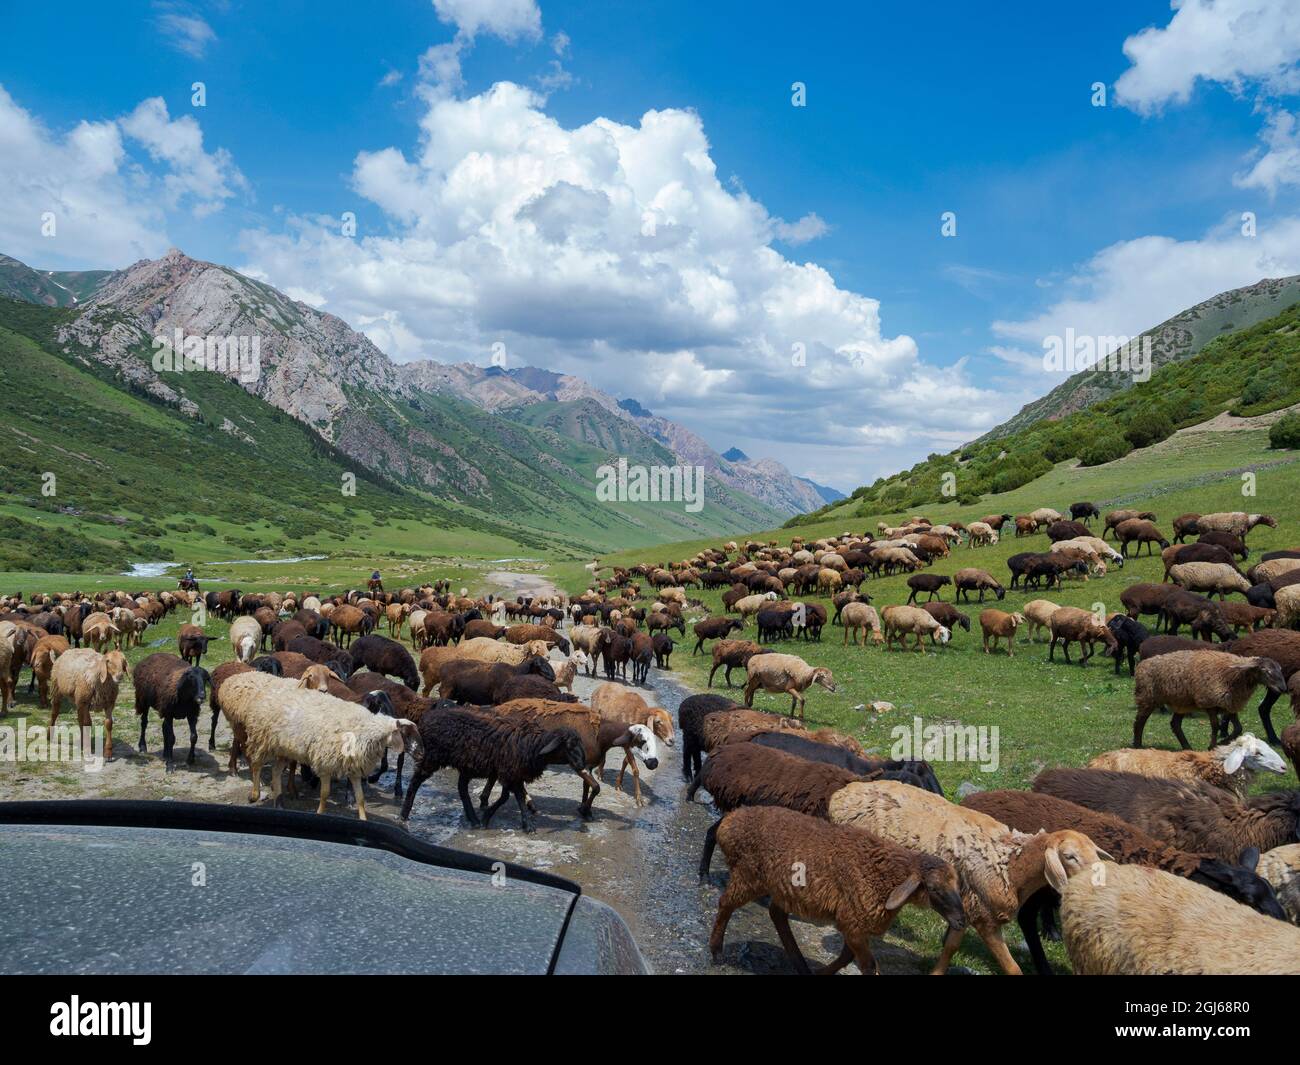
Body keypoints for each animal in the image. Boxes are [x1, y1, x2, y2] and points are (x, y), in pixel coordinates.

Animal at [217, 672, 413, 819]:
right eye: (380, 708)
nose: (404, 743)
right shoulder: (325, 762)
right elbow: (325, 793)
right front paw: (320, 811)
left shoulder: (353, 767)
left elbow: (360, 798)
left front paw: (363, 818)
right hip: (262, 739)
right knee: (256, 764)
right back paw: (254, 794)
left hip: (284, 748)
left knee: (275, 770)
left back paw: (279, 801)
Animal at [708, 806, 966, 974]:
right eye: (934, 888)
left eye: (958, 886)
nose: (961, 921)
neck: (886, 876)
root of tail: (731, 819)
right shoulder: (852, 921)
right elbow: (867, 965)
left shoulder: (854, 922)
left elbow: (847, 958)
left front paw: (822, 974)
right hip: (748, 876)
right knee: (725, 904)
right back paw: (716, 952)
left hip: (782, 889)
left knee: (777, 915)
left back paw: (800, 965)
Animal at [827, 780, 1110, 975]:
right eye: (1069, 856)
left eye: (1093, 852)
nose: (1100, 881)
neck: (1010, 865)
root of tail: (842, 794)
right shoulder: (986, 918)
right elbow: (1012, 968)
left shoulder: (964, 907)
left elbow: (951, 947)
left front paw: (936, 972)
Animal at [1133, 649, 1287, 749]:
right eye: (1266, 671)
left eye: (1280, 669)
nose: (1283, 688)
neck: (1236, 677)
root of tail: (1141, 665)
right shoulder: (1210, 703)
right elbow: (1215, 726)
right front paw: (1213, 745)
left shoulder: (1230, 704)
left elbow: (1238, 728)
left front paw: (1222, 742)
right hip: (1148, 697)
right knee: (1140, 721)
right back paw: (1137, 744)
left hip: (1182, 702)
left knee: (1175, 724)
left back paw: (1187, 747)